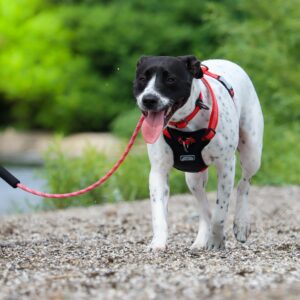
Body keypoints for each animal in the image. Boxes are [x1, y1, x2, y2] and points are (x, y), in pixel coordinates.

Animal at [134, 54, 262, 251]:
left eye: (170, 79)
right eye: (142, 78)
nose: (149, 99)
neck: (184, 125)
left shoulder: (226, 166)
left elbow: (220, 212)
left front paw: (217, 241)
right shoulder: (158, 171)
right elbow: (158, 212)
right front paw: (157, 243)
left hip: (252, 153)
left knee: (244, 184)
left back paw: (241, 224)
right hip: (193, 178)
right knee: (205, 211)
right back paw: (201, 241)